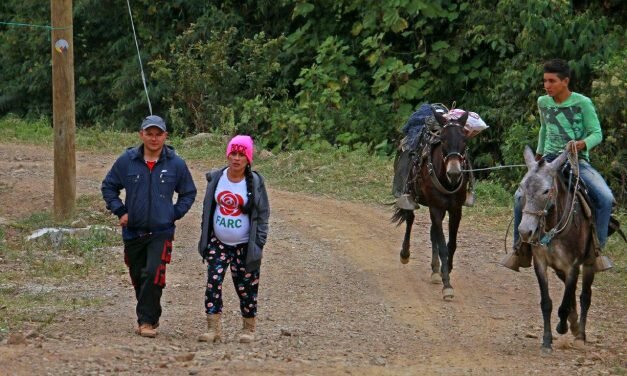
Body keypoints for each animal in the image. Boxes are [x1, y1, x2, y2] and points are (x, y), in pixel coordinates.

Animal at [394, 108, 468, 300]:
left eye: (465, 140)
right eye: (443, 140)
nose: (455, 173)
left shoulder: (456, 210)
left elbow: (451, 244)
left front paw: (444, 271)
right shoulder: (435, 207)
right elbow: (442, 246)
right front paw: (447, 285)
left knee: (433, 231)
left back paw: (435, 270)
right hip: (412, 196)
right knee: (410, 220)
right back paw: (405, 254)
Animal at [520, 146, 600, 352]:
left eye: (546, 191)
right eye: (522, 187)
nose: (525, 231)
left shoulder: (573, 266)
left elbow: (564, 305)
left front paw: (562, 327)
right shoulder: (540, 263)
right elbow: (546, 303)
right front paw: (547, 340)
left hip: (589, 264)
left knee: (585, 296)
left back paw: (580, 334)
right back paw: (574, 323)